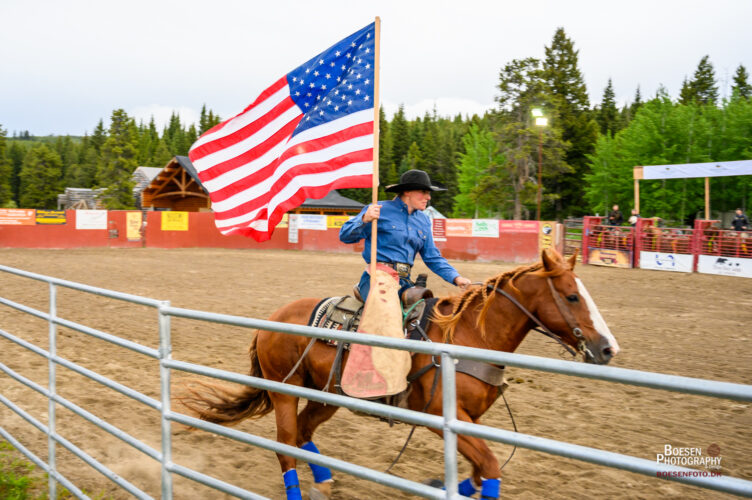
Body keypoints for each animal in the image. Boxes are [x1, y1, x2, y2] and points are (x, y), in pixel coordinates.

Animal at [179, 250, 620, 500]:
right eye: (571, 296)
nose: (607, 348)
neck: (469, 336)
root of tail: (271, 320)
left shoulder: (469, 420)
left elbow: (480, 471)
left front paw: (441, 485)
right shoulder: (443, 419)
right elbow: (491, 466)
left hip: (328, 394)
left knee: (303, 434)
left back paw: (323, 482)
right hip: (285, 389)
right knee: (286, 444)